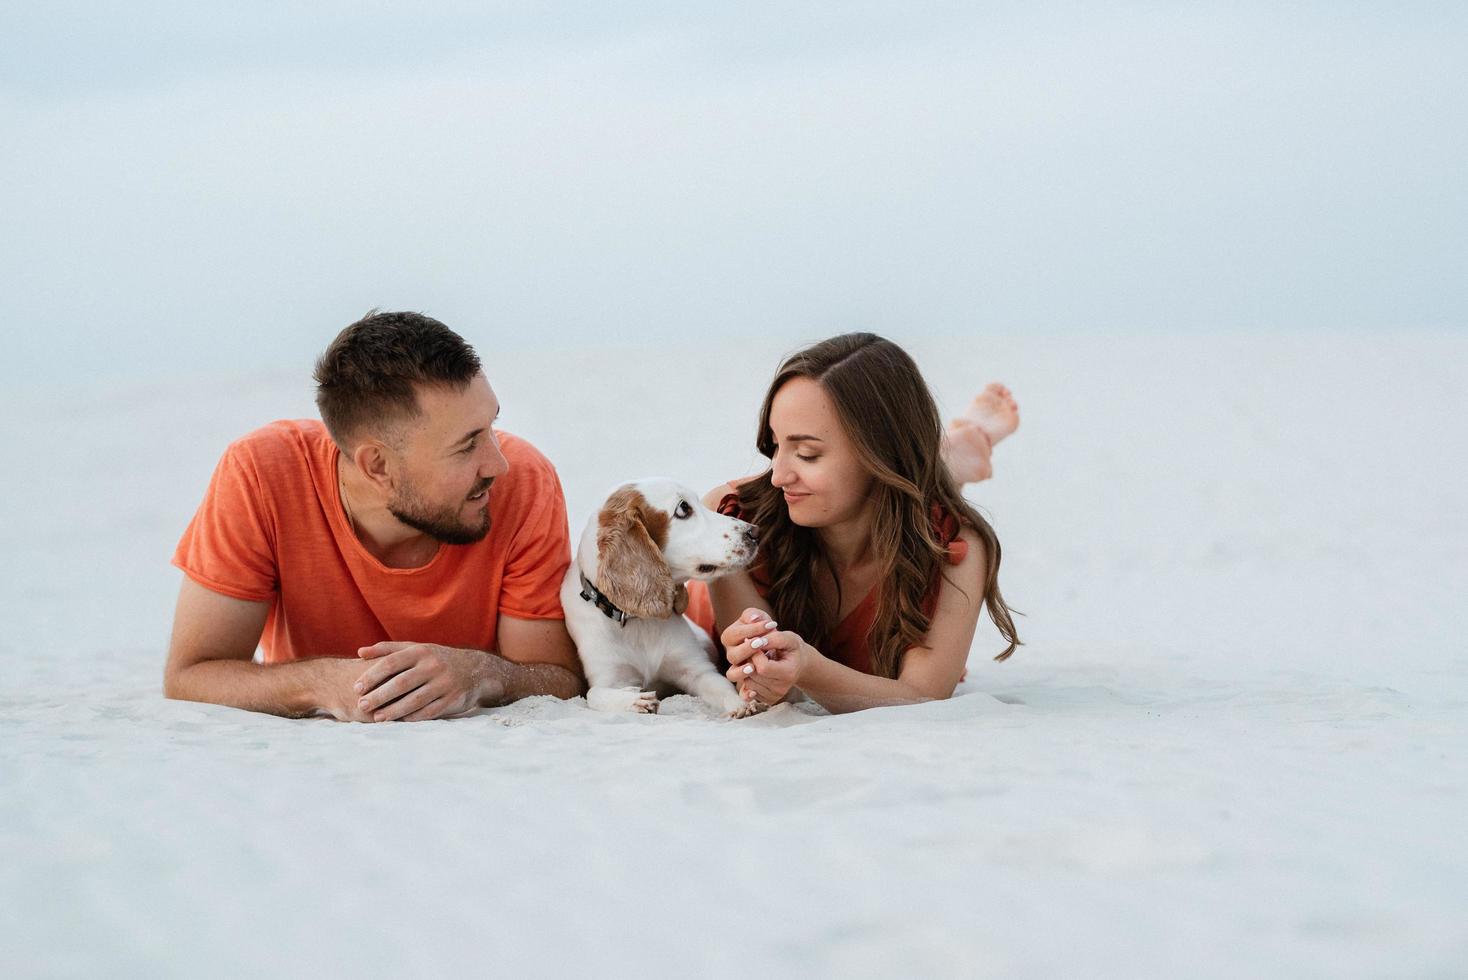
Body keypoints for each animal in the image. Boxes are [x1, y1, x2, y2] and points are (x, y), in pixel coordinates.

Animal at [560, 478, 763, 715]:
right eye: (684, 508)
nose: (755, 532)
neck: (639, 622)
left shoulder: (697, 669)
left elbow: (722, 687)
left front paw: (742, 704)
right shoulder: (609, 678)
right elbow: (596, 695)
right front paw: (635, 700)